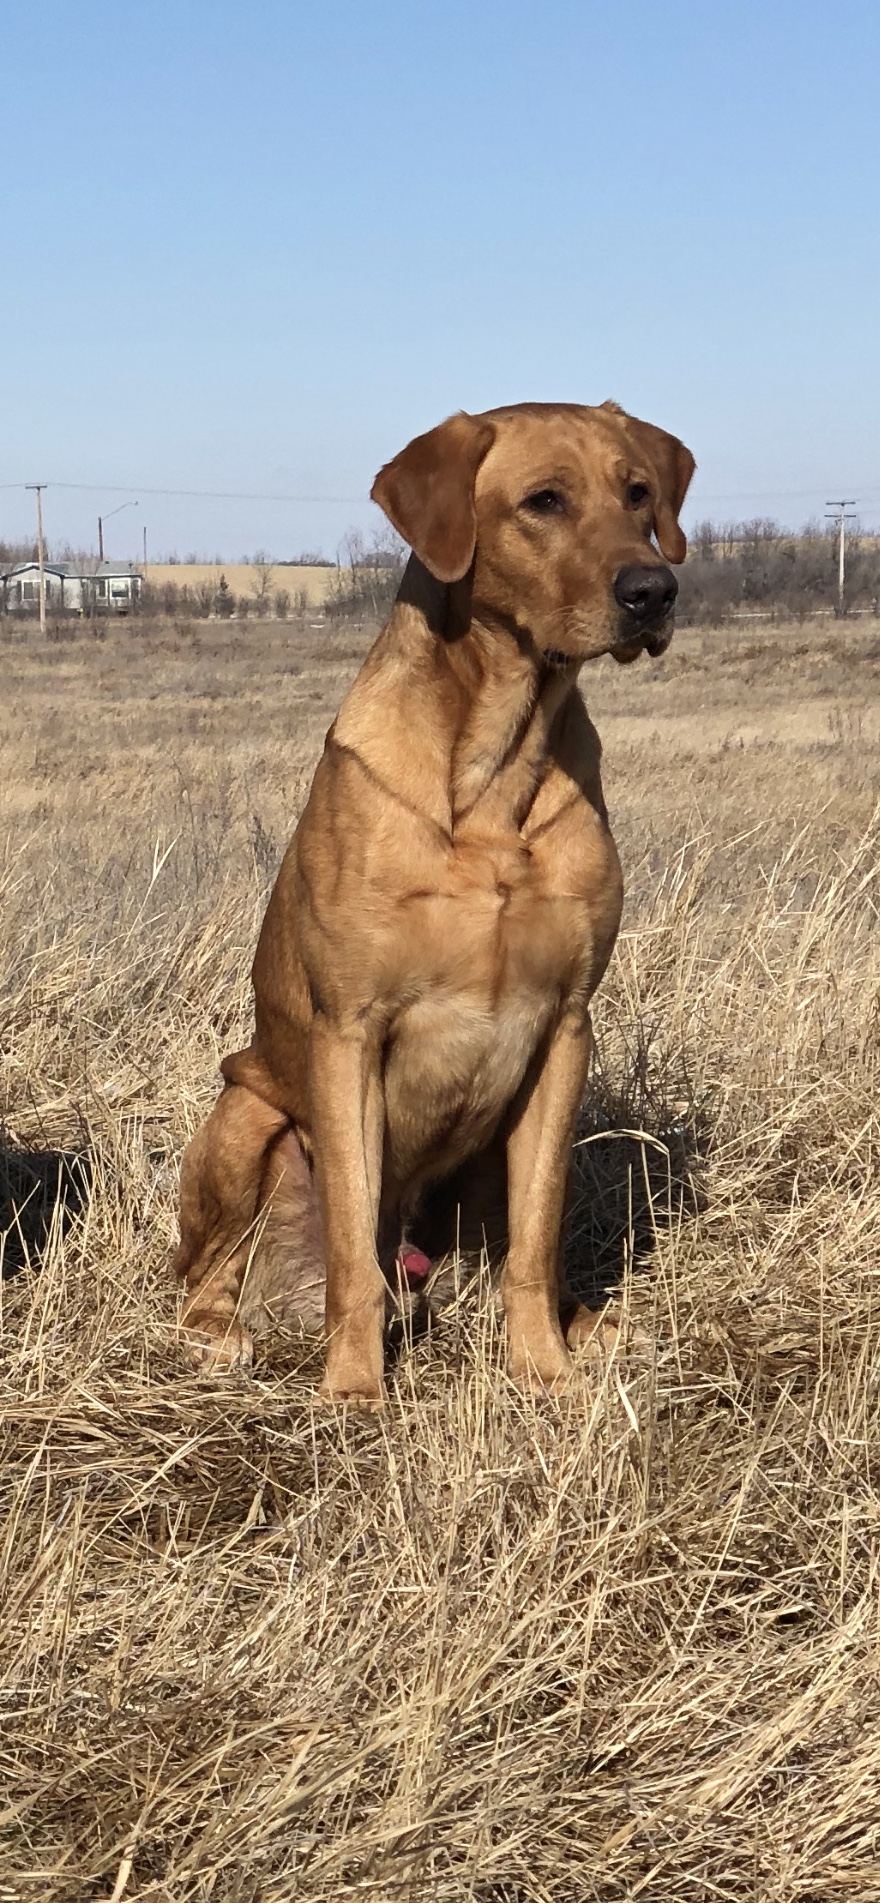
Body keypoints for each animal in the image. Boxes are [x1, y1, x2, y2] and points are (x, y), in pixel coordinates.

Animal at [173, 397, 693, 1400]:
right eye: (544, 501)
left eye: (639, 493)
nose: (654, 591)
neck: (498, 763)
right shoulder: (349, 1029)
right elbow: (350, 1245)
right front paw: (352, 1391)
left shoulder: (566, 1025)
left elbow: (537, 1235)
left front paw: (544, 1370)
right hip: (243, 1115)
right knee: (207, 1270)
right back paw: (219, 1332)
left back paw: (588, 1326)